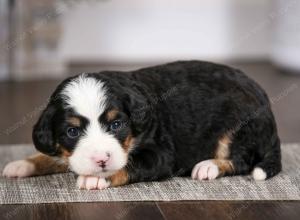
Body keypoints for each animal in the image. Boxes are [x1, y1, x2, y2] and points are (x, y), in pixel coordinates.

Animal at [1, 61, 282, 190]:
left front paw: (96, 178)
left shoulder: (161, 153)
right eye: (72, 131)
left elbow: (129, 164)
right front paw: (23, 163)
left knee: (243, 159)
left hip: (238, 127)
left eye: (116, 124)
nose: (101, 159)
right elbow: (54, 156)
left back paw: (209, 166)